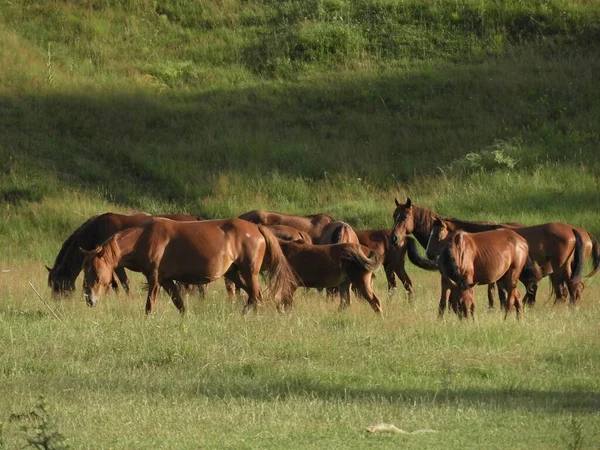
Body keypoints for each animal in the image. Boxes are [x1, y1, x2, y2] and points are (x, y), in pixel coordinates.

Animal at [45, 213, 204, 298]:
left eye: (57, 284)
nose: (56, 301)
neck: (96, 231)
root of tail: (196, 219)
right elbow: (114, 283)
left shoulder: (115, 265)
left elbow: (123, 283)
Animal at [79, 218, 296, 312]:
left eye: (95, 272)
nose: (89, 299)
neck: (145, 238)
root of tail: (258, 228)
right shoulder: (166, 281)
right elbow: (180, 304)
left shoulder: (155, 279)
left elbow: (149, 305)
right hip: (235, 274)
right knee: (252, 297)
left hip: (249, 273)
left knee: (256, 297)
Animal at [392, 198, 596, 306]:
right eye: (394, 216)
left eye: (405, 216)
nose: (394, 238)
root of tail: (575, 230)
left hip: (561, 269)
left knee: (570, 290)